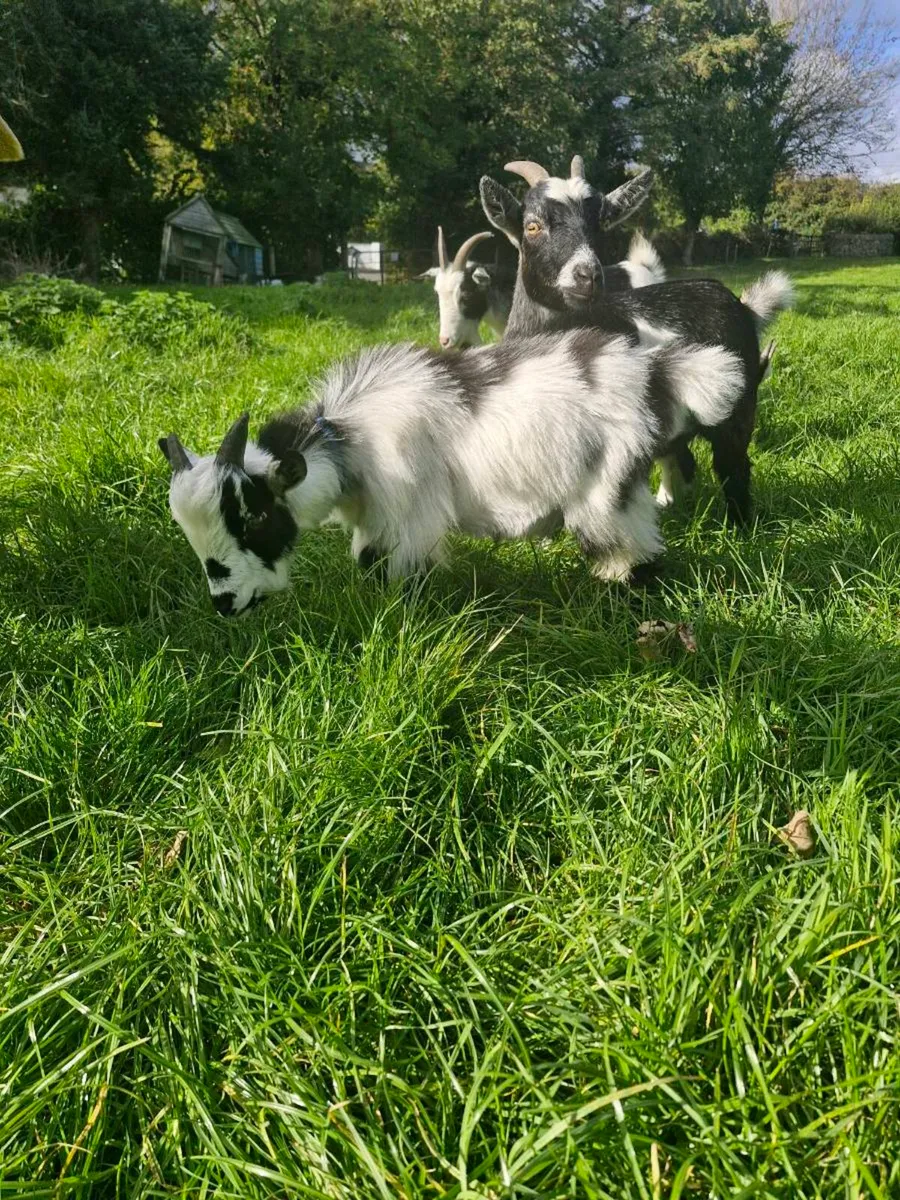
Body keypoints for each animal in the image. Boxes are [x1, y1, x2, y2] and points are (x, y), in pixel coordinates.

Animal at [158, 329, 748, 614]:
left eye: (254, 515)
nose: (225, 604)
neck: (350, 441)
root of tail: (656, 371)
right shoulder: (375, 514)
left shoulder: (407, 513)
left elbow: (383, 566)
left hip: (607, 489)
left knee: (633, 550)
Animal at [480, 156, 794, 523]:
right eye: (532, 226)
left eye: (601, 226)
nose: (588, 276)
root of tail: (742, 306)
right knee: (682, 457)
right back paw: (669, 503)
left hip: (738, 406)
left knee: (733, 465)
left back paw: (740, 525)